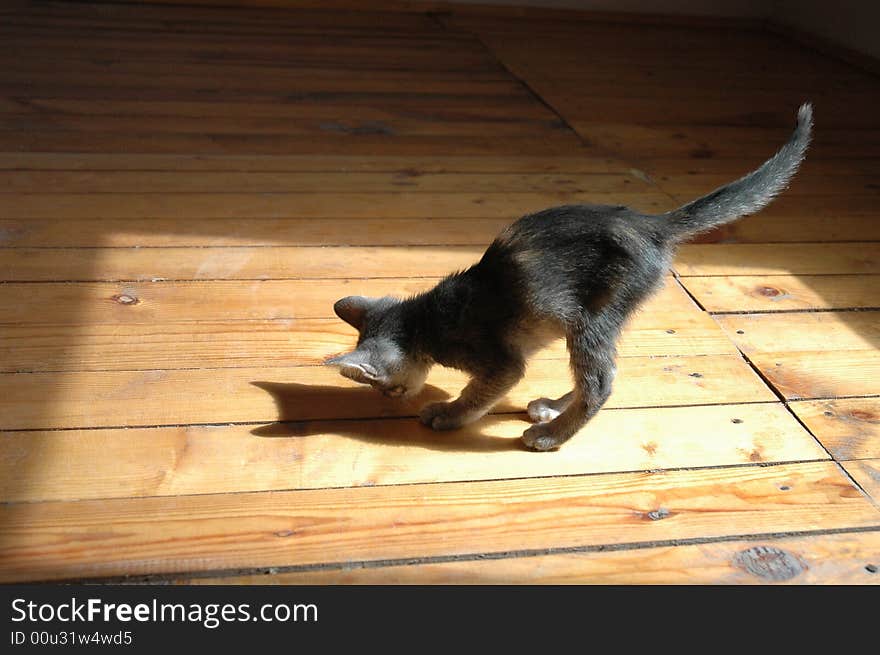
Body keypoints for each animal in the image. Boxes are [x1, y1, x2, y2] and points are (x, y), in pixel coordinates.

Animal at [326, 104, 816, 452]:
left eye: (381, 385)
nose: (392, 399)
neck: (425, 318)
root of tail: (651, 224)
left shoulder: (498, 362)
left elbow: (479, 393)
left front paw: (448, 414)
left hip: (589, 318)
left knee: (600, 383)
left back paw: (551, 436)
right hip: (595, 322)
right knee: (599, 376)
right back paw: (553, 409)